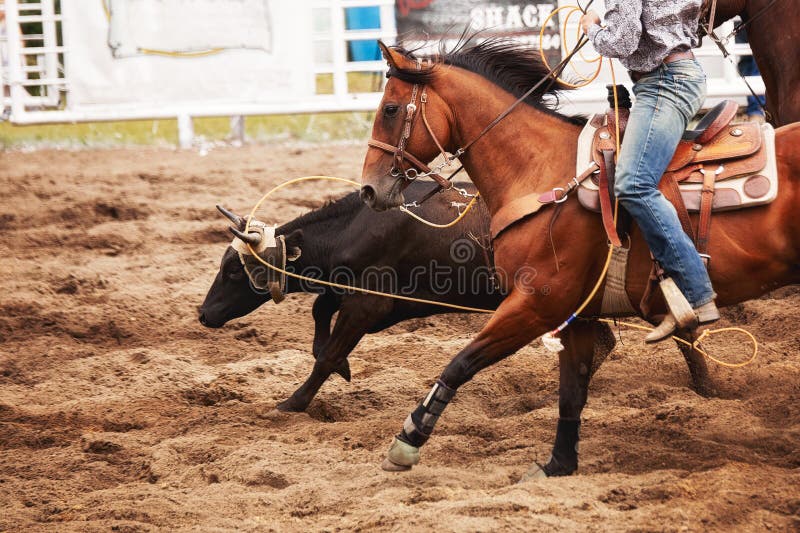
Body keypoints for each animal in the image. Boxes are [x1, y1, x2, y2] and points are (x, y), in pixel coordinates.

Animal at [359, 39, 800, 476]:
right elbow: (572, 389)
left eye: (390, 109)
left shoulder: (538, 304)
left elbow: (461, 362)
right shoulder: (578, 315)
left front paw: (408, 439)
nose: (368, 189)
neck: (540, 172)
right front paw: (559, 464)